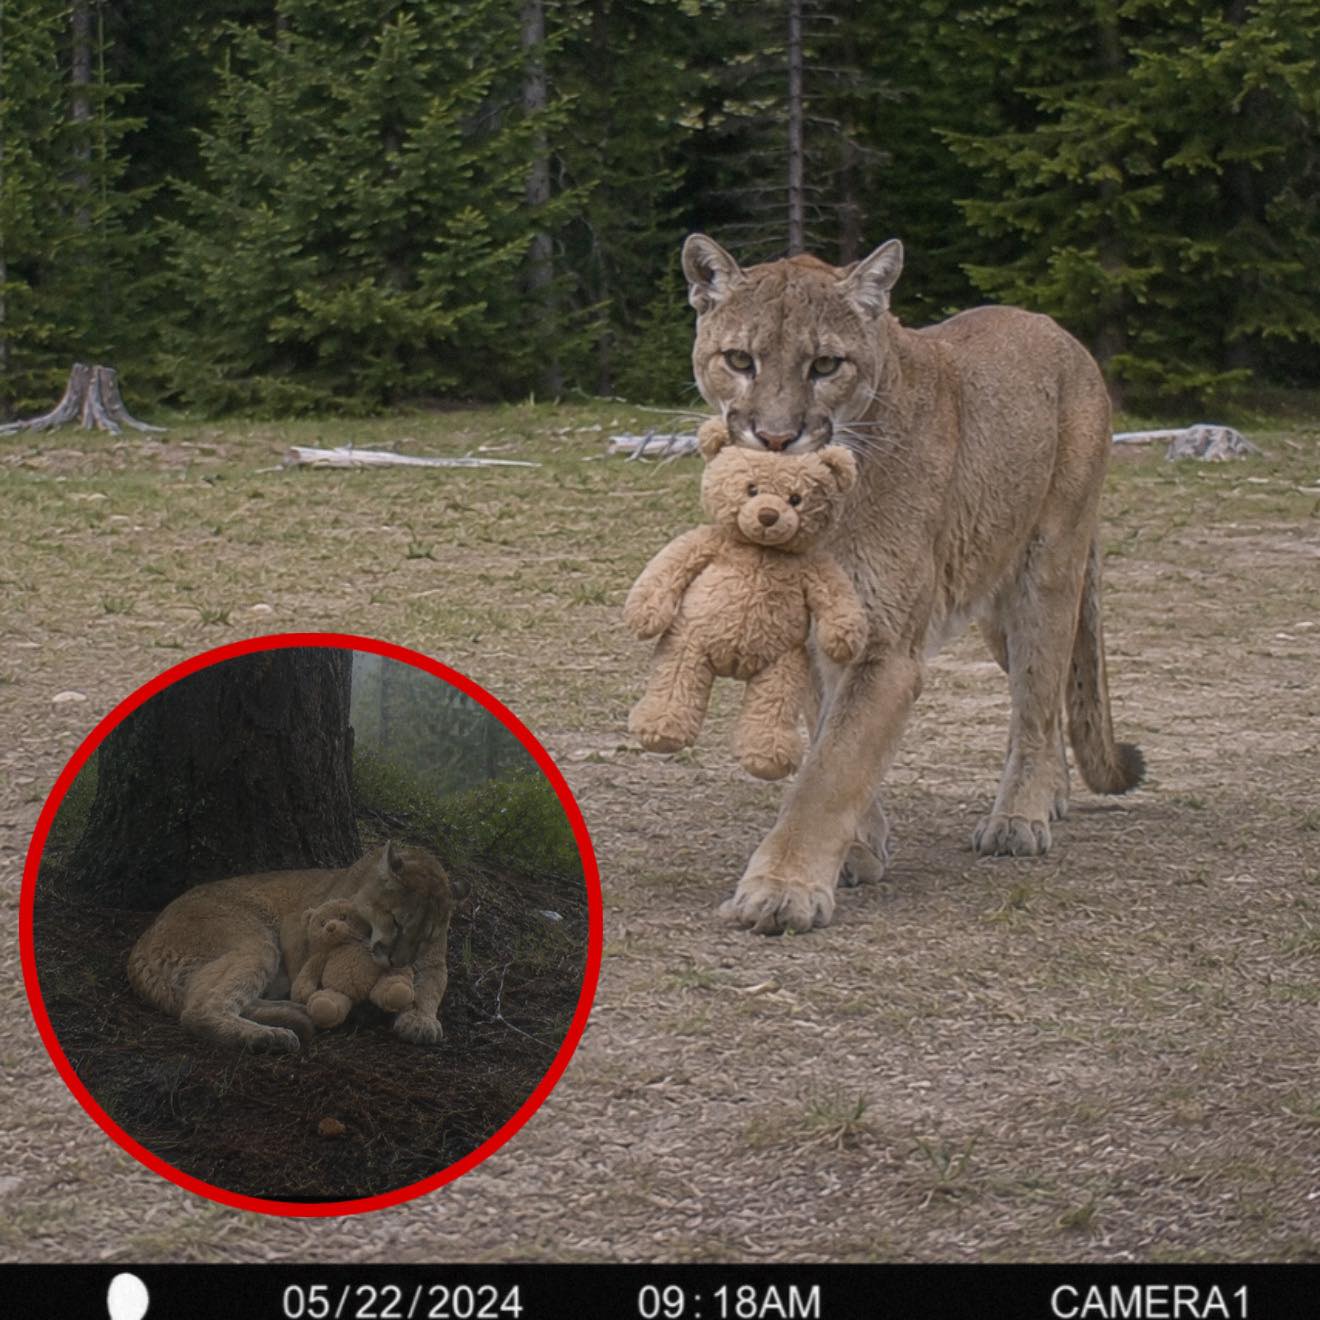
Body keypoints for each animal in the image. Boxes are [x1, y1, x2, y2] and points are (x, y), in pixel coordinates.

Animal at [127, 840, 466, 1051]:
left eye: (426, 937)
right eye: (397, 922)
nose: (397, 963)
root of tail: (142, 943)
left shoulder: (435, 962)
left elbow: (430, 988)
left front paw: (420, 1019)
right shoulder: (301, 923)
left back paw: (293, 1012)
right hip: (258, 942)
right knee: (199, 1009)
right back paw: (271, 1036)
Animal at [679, 233, 1144, 935]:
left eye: (825, 364)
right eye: (739, 359)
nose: (777, 437)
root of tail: (1054, 327)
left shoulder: (886, 644)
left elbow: (832, 765)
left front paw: (783, 889)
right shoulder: (817, 628)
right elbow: (829, 735)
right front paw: (859, 850)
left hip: (1047, 572)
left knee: (1036, 700)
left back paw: (1020, 817)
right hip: (997, 611)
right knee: (1048, 688)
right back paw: (1053, 795)